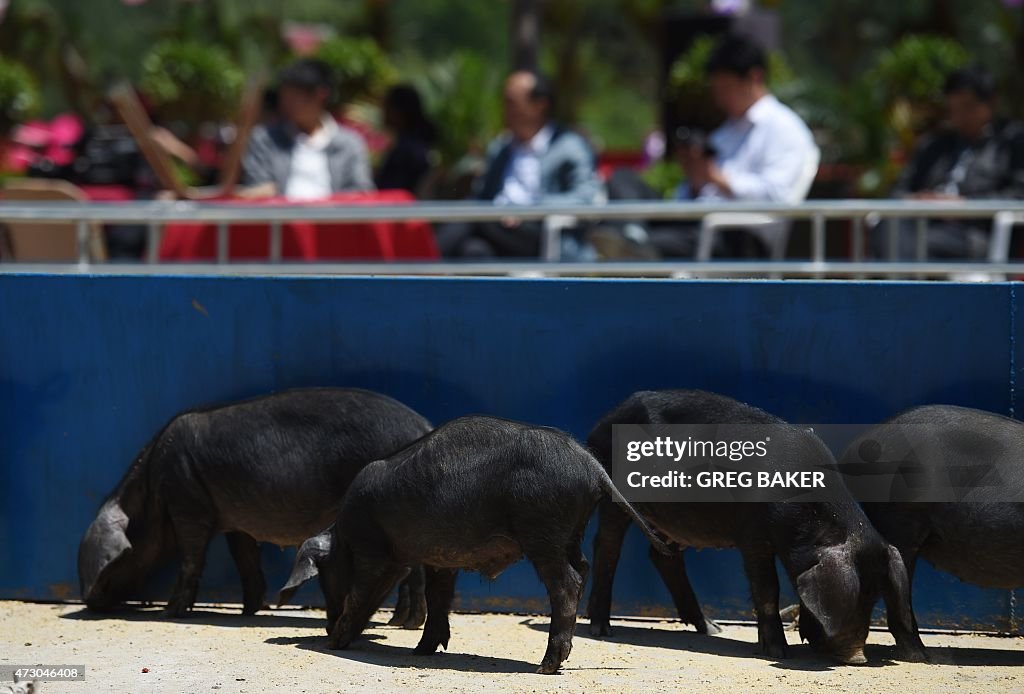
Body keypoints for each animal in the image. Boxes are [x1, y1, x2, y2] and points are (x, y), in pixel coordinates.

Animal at [78, 388, 432, 622]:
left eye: (115, 563)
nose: (89, 602)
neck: (152, 487)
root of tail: (423, 425)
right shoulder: (236, 521)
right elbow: (245, 557)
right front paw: (252, 610)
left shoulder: (187, 501)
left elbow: (192, 555)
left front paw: (172, 612)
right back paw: (402, 622)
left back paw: (404, 623)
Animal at [276, 415, 671, 675]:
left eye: (325, 571)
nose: (326, 630)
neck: (344, 533)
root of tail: (593, 467)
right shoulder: (438, 559)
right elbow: (438, 596)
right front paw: (423, 651)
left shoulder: (371, 549)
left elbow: (360, 593)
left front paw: (335, 644)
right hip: (570, 532)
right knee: (583, 567)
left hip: (543, 532)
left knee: (567, 583)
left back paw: (546, 666)